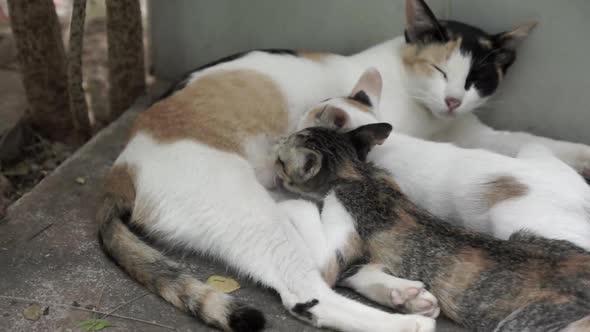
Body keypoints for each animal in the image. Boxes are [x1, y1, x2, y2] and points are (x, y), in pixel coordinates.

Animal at [276, 124, 590, 332]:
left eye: (280, 160)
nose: (276, 140)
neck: (357, 174)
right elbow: (365, 271)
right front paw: (407, 296)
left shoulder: (339, 236)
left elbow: (311, 230)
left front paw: (283, 203)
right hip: (526, 234)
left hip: (522, 321)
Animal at [298, 67, 590, 249]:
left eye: (305, 125)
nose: (296, 120)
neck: (386, 143)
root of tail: (582, 194)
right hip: (533, 150)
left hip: (520, 222)